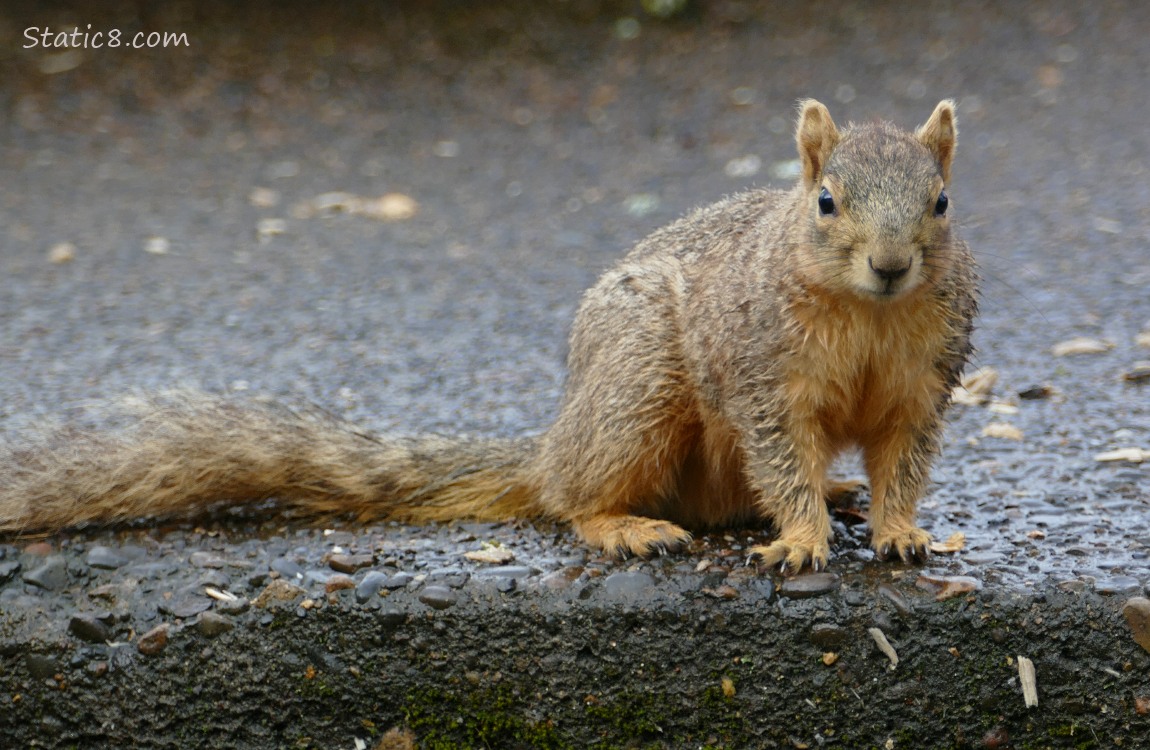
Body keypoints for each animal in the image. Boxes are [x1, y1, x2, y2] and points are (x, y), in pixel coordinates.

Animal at [0, 98, 979, 568]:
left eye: (941, 203)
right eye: (826, 203)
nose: (891, 265)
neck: (869, 316)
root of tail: (552, 438)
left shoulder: (923, 385)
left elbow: (902, 463)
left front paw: (898, 531)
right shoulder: (762, 375)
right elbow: (781, 457)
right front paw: (803, 542)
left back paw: (839, 495)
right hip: (639, 387)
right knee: (575, 496)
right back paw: (626, 527)